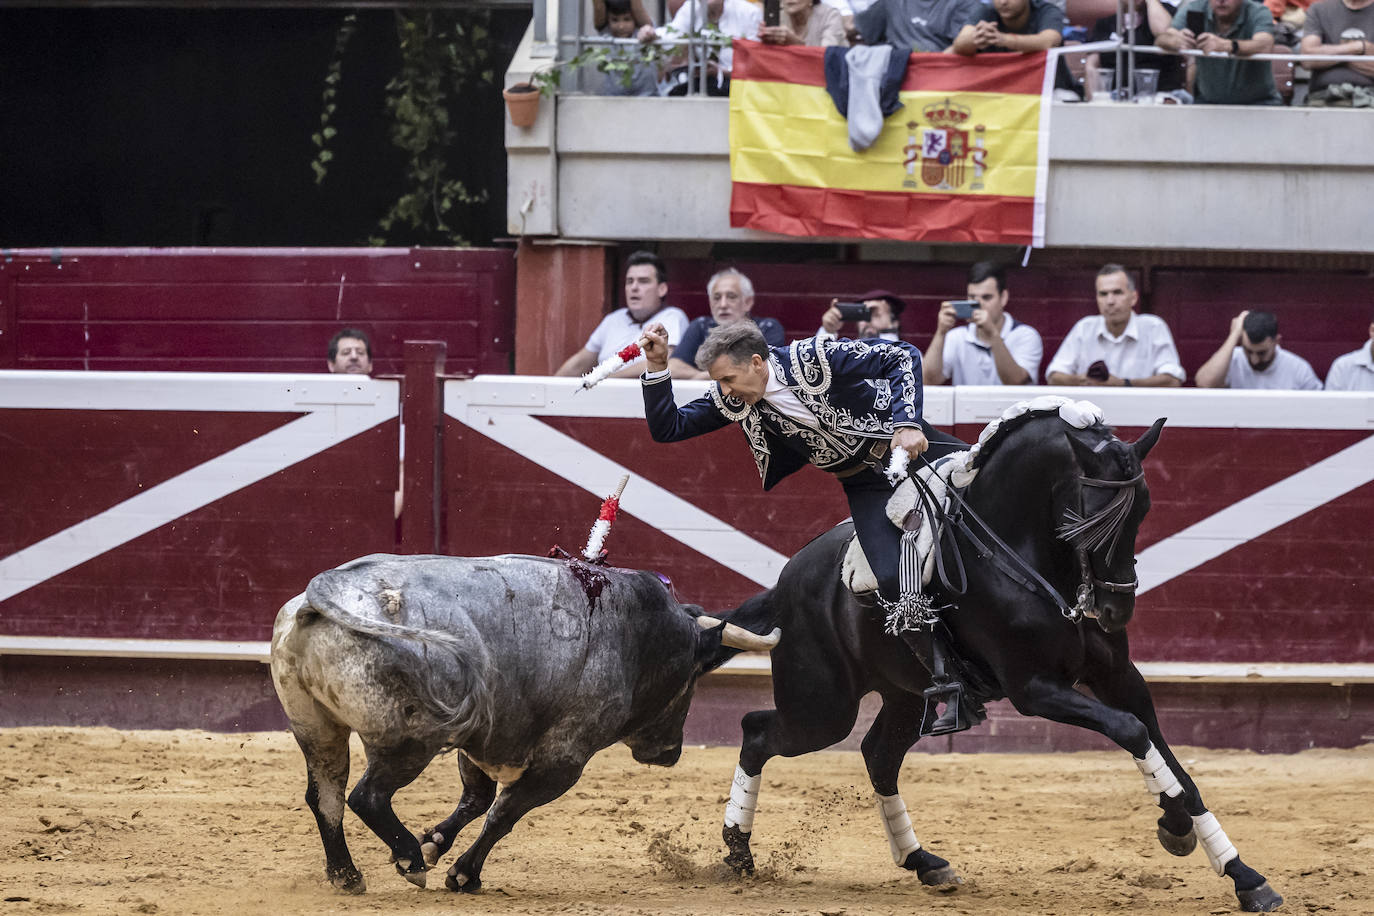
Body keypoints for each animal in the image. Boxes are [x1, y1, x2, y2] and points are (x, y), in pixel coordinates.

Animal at [273, 552, 780, 895]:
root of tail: (325, 592)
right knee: (367, 795)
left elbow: (477, 799)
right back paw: (409, 862)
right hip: (409, 742)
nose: (671, 751)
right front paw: (462, 873)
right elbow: (504, 812)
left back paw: (347, 875)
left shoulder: (483, 738)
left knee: (326, 797)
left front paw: (436, 843)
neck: (635, 632)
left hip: (318, 731)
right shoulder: (564, 760)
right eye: (694, 676)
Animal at [714, 403, 1280, 911]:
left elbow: (1170, 759)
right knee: (757, 730)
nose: (1115, 609)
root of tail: (786, 581)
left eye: (1142, 510)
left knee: (877, 755)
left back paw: (924, 862)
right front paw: (1182, 831)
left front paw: (1240, 873)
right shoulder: (1035, 690)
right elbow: (1132, 731)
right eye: (1088, 517)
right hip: (821, 707)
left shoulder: (1120, 677)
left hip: (904, 695)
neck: (1026, 555)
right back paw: (738, 853)